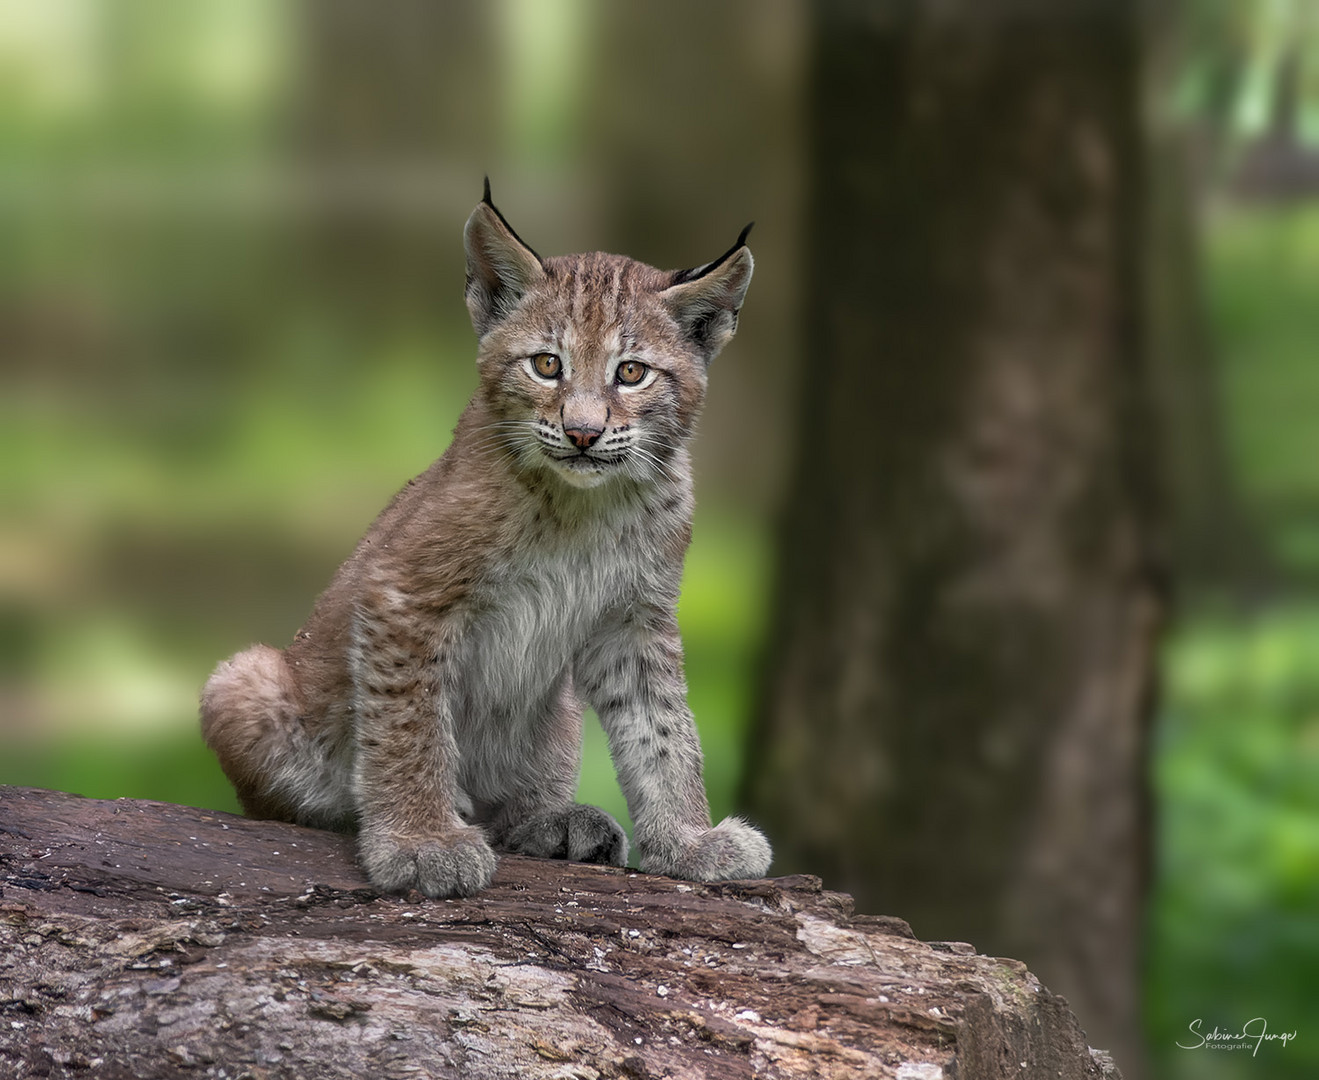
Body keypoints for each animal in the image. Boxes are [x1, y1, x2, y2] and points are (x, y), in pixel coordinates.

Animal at [203, 183, 770, 896]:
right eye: (547, 365)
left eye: (632, 373)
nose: (583, 432)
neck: (585, 502)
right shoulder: (403, 593)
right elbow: (410, 726)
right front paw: (421, 841)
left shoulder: (636, 619)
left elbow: (664, 730)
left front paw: (689, 841)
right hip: (241, 675)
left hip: (558, 710)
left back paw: (550, 821)